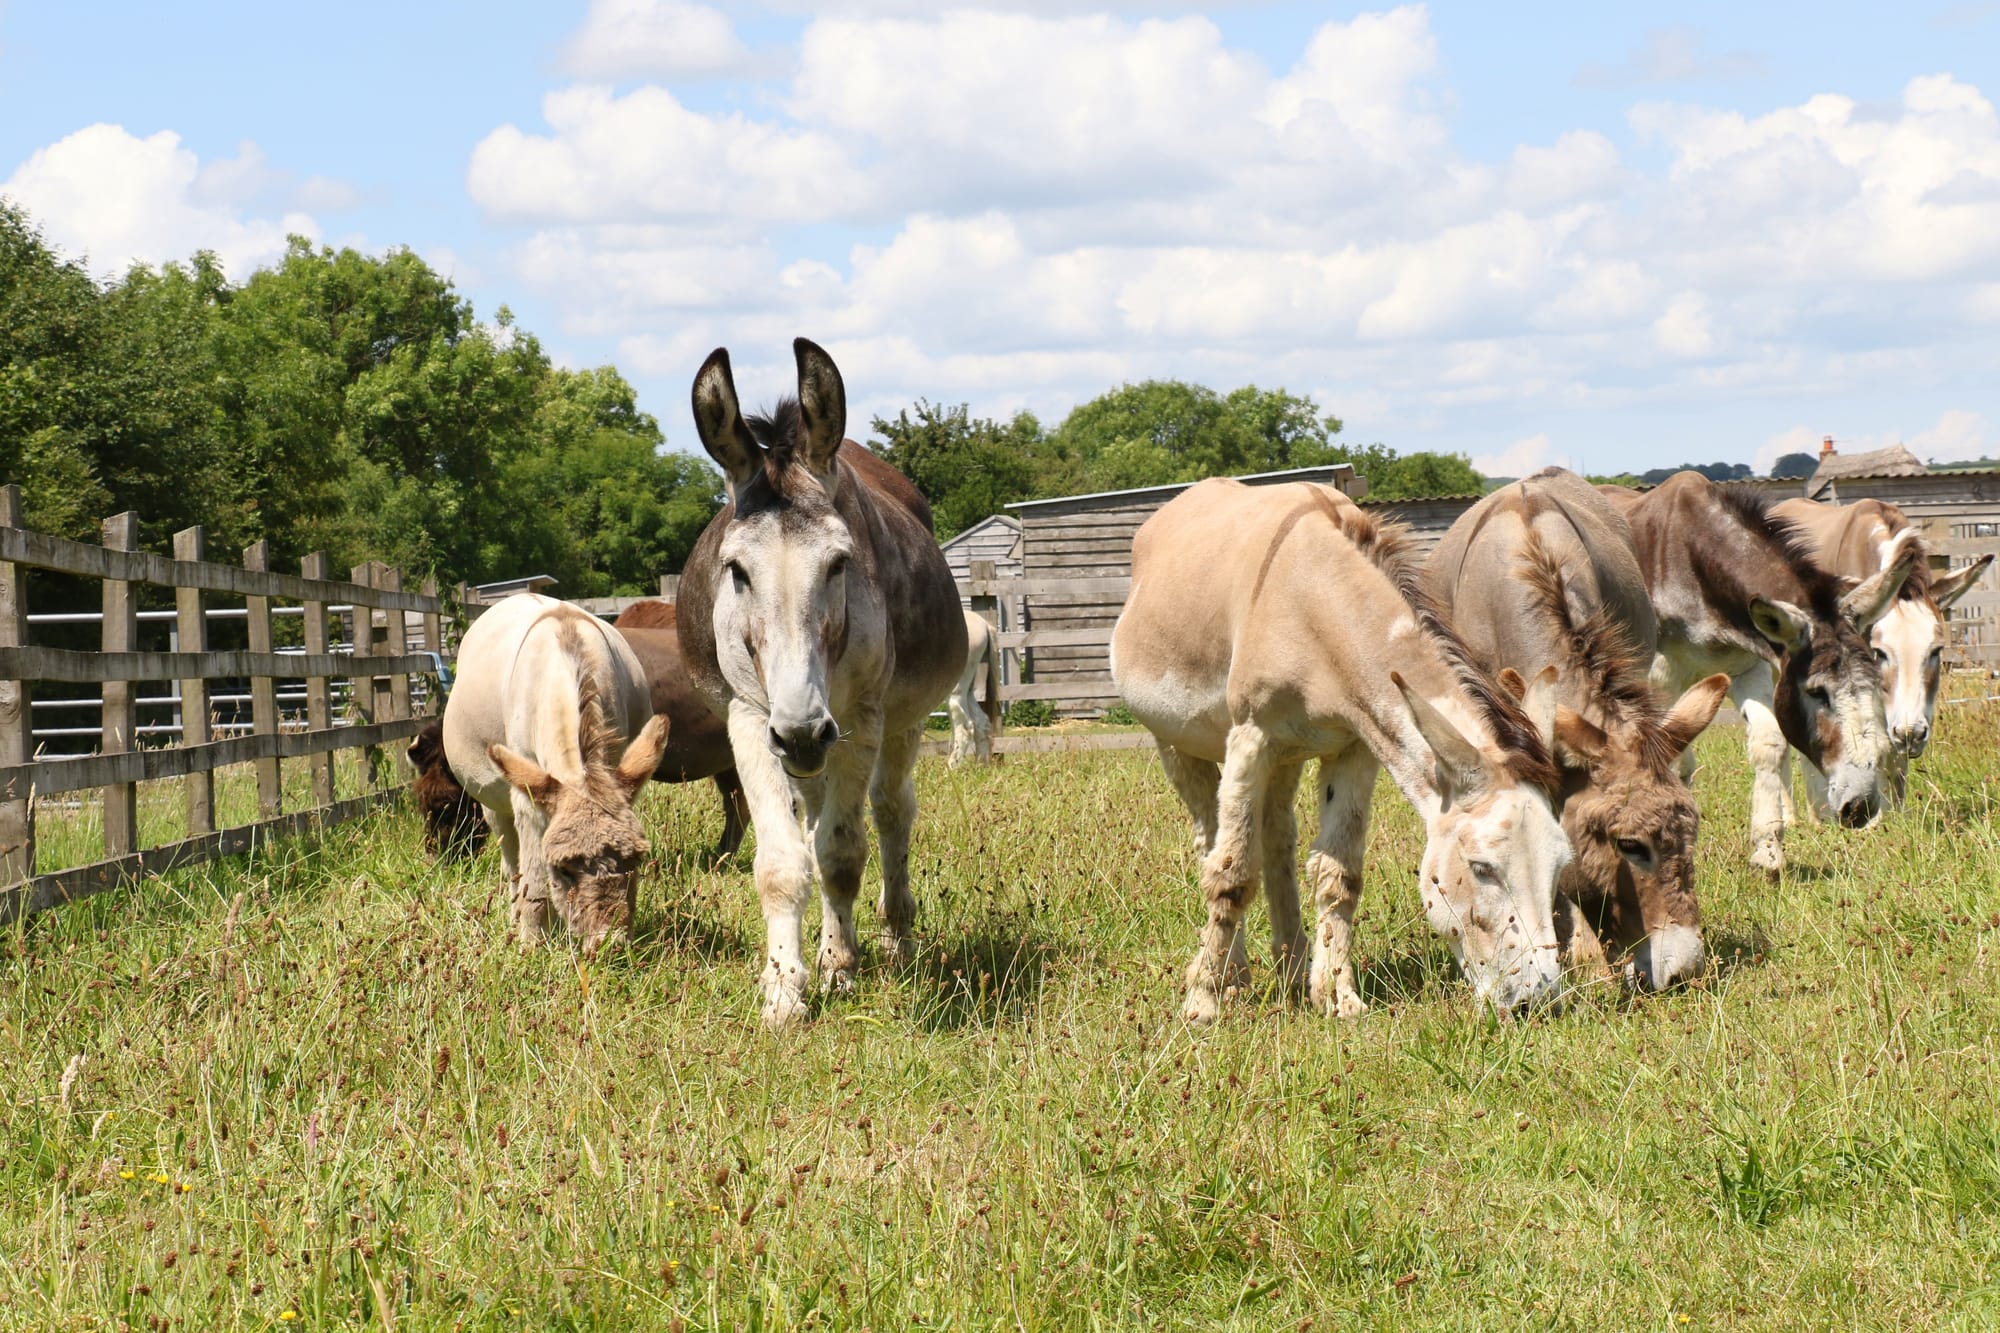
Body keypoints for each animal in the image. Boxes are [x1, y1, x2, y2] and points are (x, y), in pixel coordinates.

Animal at [442, 594, 670, 956]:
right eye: (562, 869)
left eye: (635, 860)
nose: (609, 946)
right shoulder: (526, 791)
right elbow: (534, 877)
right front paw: (532, 944)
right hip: (494, 799)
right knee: (512, 858)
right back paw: (515, 915)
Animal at [677, 339, 966, 1028]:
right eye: (736, 571)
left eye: (839, 564)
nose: (804, 732)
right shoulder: (751, 718)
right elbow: (785, 862)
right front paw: (784, 990)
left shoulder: (859, 719)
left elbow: (840, 853)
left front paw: (837, 968)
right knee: (814, 818)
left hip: (899, 723)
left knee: (890, 813)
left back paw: (894, 938)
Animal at [947, 609, 1002, 766]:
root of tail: (984, 624)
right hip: (968, 690)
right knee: (981, 723)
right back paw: (980, 766)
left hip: (956, 690)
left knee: (965, 728)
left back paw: (952, 768)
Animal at [1111, 478, 1572, 1022]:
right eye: (1482, 869)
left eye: (1561, 865)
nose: (1538, 1002)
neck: (1314, 602)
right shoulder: (1251, 739)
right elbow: (1232, 875)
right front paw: (1201, 1002)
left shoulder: (1356, 748)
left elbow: (1339, 874)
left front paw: (1337, 997)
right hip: (1180, 745)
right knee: (1212, 843)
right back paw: (1232, 977)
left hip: (1287, 757)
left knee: (1276, 841)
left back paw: (1289, 972)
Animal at [1599, 474, 1912, 874]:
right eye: (1817, 693)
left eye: (1875, 684)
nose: (1861, 808)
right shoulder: (1660, 677)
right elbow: (1668, 759)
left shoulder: (1749, 667)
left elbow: (1769, 744)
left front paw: (1768, 850)